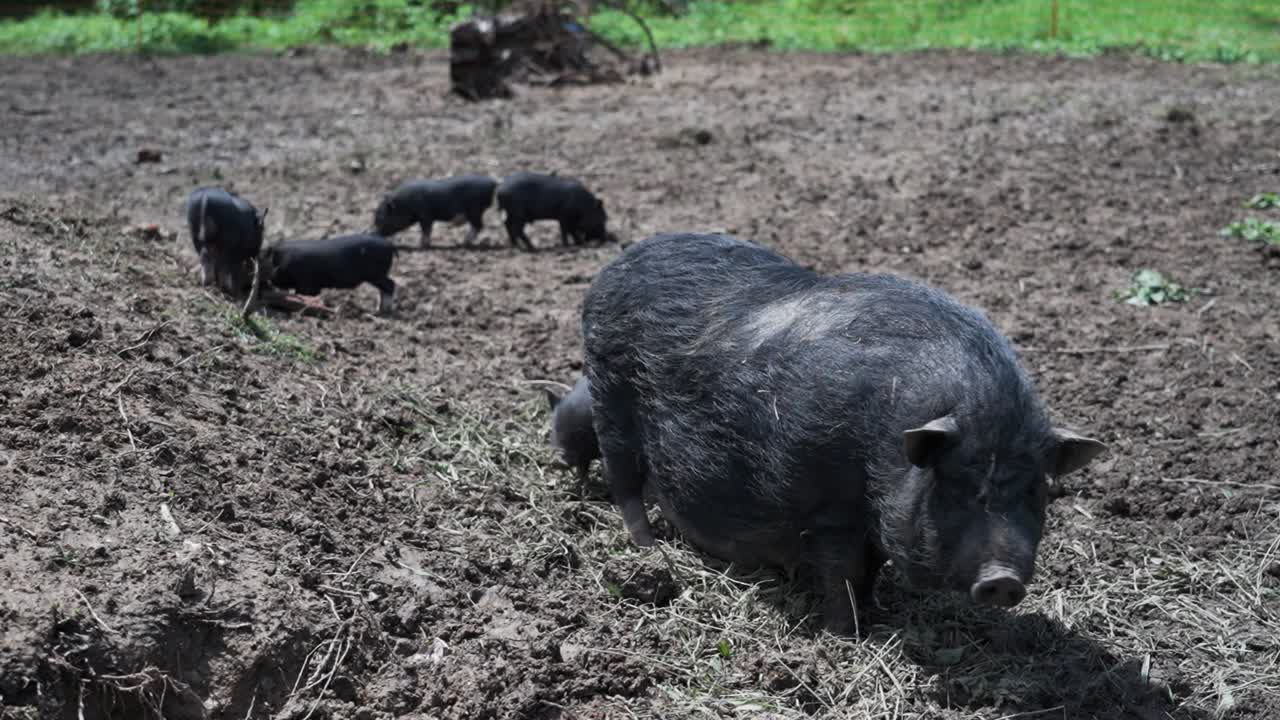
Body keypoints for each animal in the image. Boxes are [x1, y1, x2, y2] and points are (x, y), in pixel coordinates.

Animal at [262, 233, 397, 316]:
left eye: (272, 265)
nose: (270, 280)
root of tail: (390, 245)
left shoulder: (307, 284)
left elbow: (303, 294)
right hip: (377, 275)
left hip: (376, 275)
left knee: (391, 285)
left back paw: (379, 312)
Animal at [581, 232, 1107, 633]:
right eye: (956, 485)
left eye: (1036, 491)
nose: (1003, 579)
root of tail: (615, 266)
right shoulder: (828, 508)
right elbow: (844, 573)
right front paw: (846, 635)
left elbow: (870, 571)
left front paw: (879, 613)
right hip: (610, 394)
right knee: (623, 481)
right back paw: (647, 550)